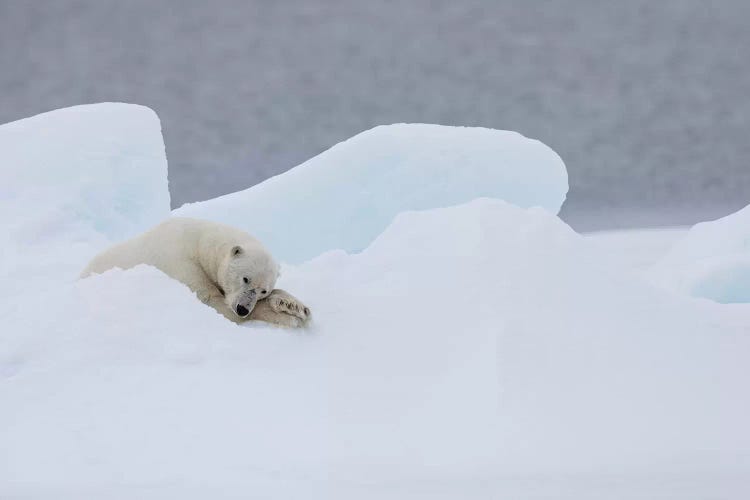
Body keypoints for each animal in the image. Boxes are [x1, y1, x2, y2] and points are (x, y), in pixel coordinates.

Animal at [79, 216, 308, 326]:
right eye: (245, 279)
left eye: (263, 290)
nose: (243, 308)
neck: (198, 242)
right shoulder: (181, 263)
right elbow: (212, 301)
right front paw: (288, 317)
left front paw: (294, 305)